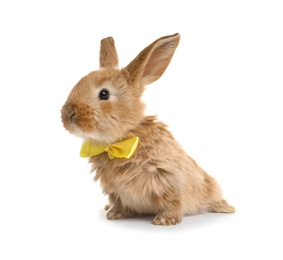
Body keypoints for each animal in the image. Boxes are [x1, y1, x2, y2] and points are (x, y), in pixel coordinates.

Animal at [61, 33, 235, 225]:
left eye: (104, 94)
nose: (69, 113)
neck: (122, 140)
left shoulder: (169, 179)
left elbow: (172, 202)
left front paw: (165, 220)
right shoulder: (115, 191)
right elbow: (120, 203)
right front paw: (115, 214)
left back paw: (226, 207)